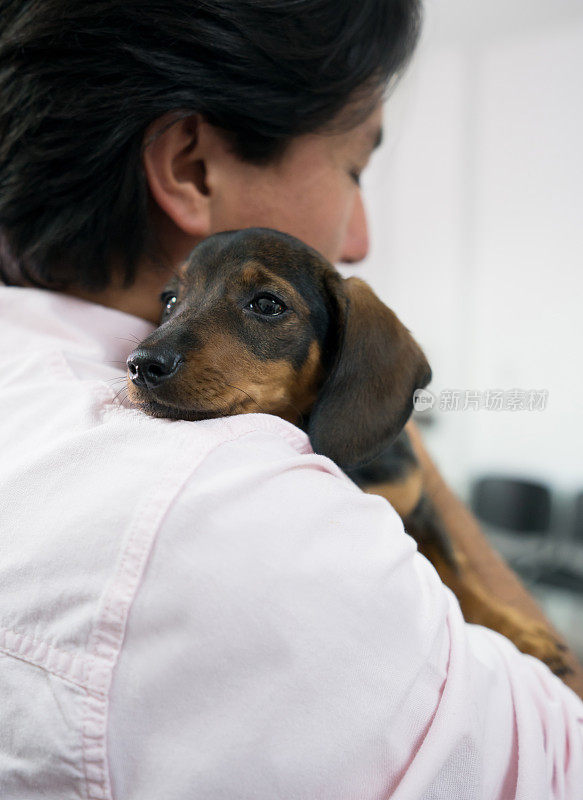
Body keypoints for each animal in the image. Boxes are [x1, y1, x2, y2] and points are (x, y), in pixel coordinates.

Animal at [126, 227, 572, 676]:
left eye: (267, 304)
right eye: (170, 299)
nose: (141, 364)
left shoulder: (422, 505)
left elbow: (459, 574)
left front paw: (521, 633)